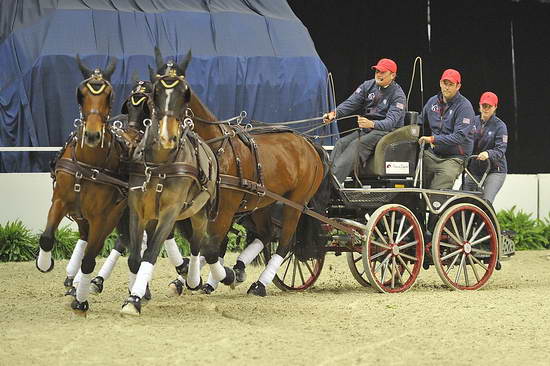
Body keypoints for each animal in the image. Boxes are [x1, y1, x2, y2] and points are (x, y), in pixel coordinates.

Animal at [37, 55, 131, 314]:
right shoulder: (60, 201)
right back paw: (77, 281)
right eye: (81, 93)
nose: (92, 135)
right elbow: (47, 237)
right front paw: (45, 263)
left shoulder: (102, 217)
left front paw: (81, 299)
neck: (88, 165)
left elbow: (89, 258)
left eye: (109, 95)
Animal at [122, 55, 219, 316]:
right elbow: (135, 258)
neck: (159, 164)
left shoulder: (170, 211)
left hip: (199, 211)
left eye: (185, 94)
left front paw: (134, 301)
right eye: (155, 95)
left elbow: (151, 253)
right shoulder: (137, 210)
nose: (167, 138)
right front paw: (137, 293)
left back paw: (193, 278)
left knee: (198, 243)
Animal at [153, 48, 330, 296]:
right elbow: (199, 244)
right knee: (266, 234)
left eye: (180, 95)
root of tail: (309, 143)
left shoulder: (225, 208)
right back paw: (237, 270)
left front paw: (218, 277)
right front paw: (190, 278)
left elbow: (211, 247)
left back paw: (259, 284)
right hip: (261, 203)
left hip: (295, 203)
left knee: (284, 243)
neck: (214, 149)